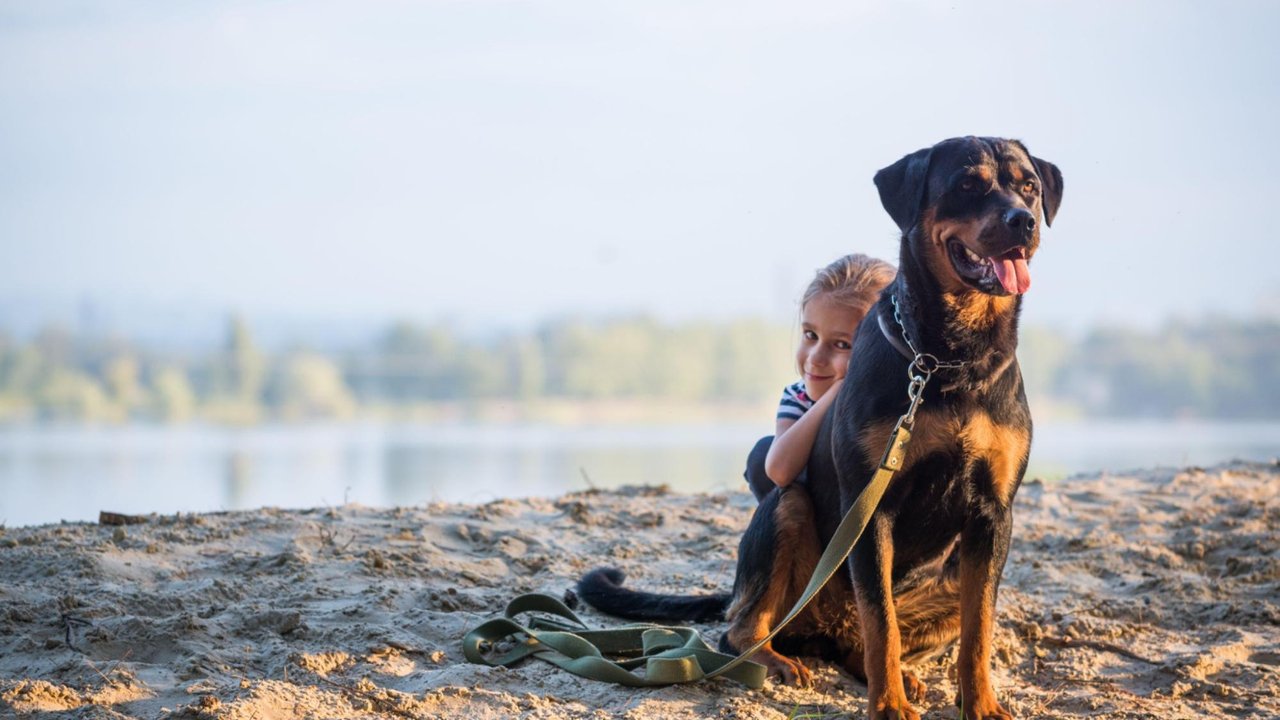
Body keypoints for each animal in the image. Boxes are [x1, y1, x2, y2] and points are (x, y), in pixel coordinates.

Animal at [578, 135, 1059, 717]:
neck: (949, 358)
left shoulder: (993, 515)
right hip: (787, 513)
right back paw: (777, 660)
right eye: (968, 184)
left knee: (873, 638)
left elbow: (978, 630)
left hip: (944, 584)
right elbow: (882, 622)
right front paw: (889, 706)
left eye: (1028, 186)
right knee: (746, 629)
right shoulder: (871, 505)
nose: (1023, 221)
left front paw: (981, 703)